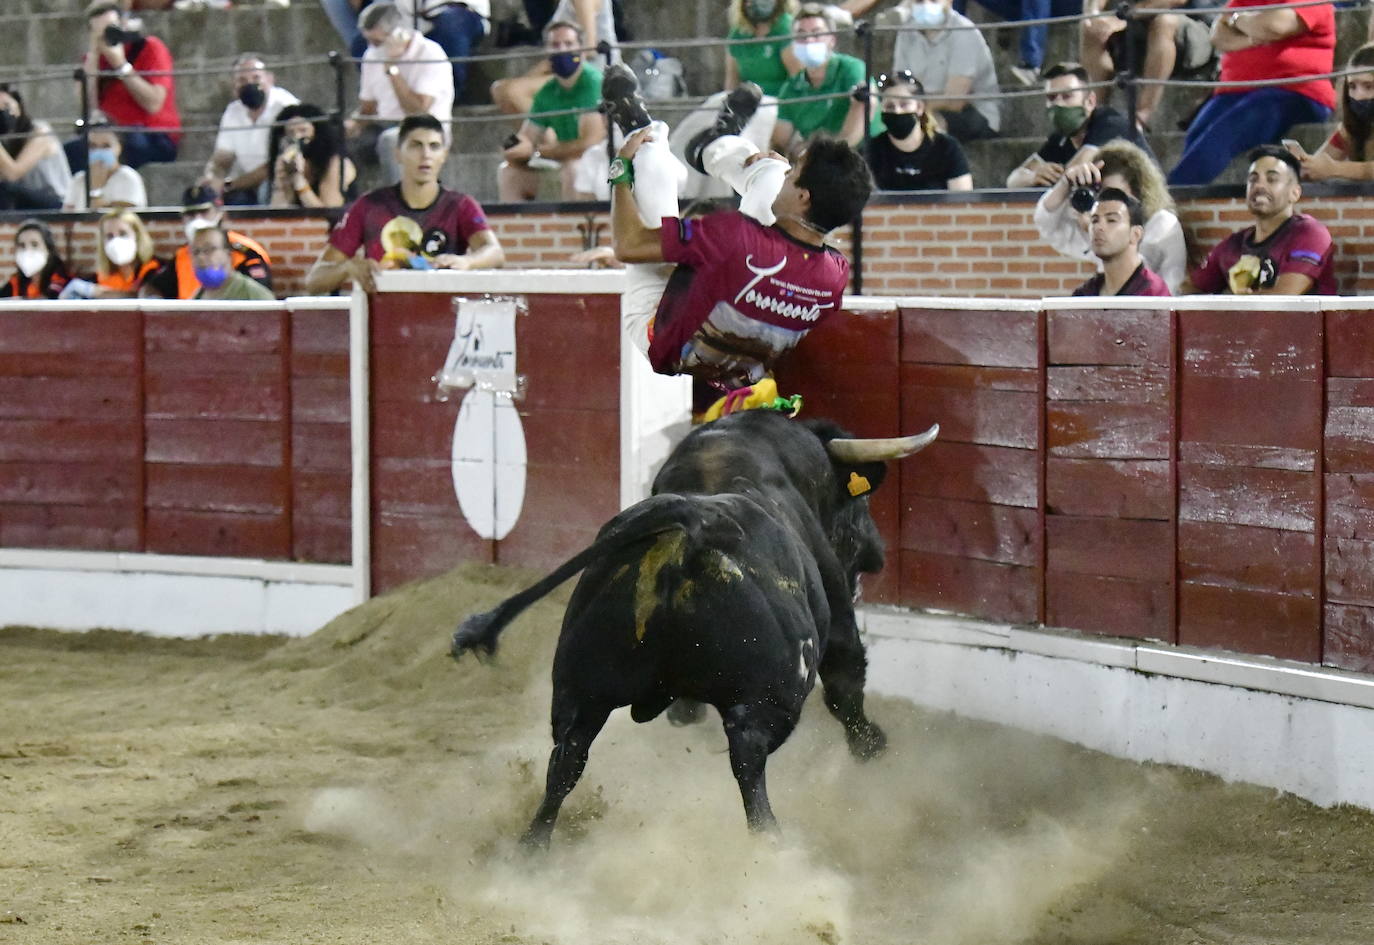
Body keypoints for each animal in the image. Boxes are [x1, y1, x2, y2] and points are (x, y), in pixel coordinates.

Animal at [447, 409, 934, 846]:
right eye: (859, 503)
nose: (877, 554)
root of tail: (689, 522)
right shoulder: (836, 613)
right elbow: (845, 682)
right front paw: (872, 746)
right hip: (768, 699)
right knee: (749, 764)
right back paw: (772, 845)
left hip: (580, 688)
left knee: (566, 760)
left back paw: (531, 851)